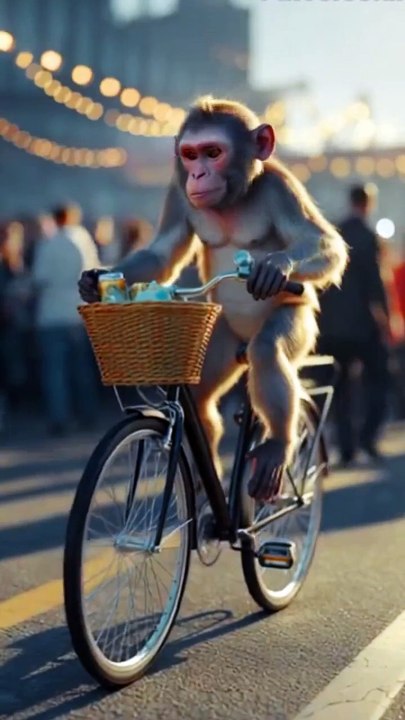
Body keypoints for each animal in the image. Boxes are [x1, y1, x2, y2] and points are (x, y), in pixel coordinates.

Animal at [79, 96, 348, 503]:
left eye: (213, 152)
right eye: (190, 155)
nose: (199, 175)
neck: (234, 199)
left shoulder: (280, 186)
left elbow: (323, 242)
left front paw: (277, 265)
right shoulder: (178, 192)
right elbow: (163, 254)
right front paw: (95, 282)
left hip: (295, 320)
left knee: (267, 349)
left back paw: (276, 448)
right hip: (217, 337)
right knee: (203, 394)